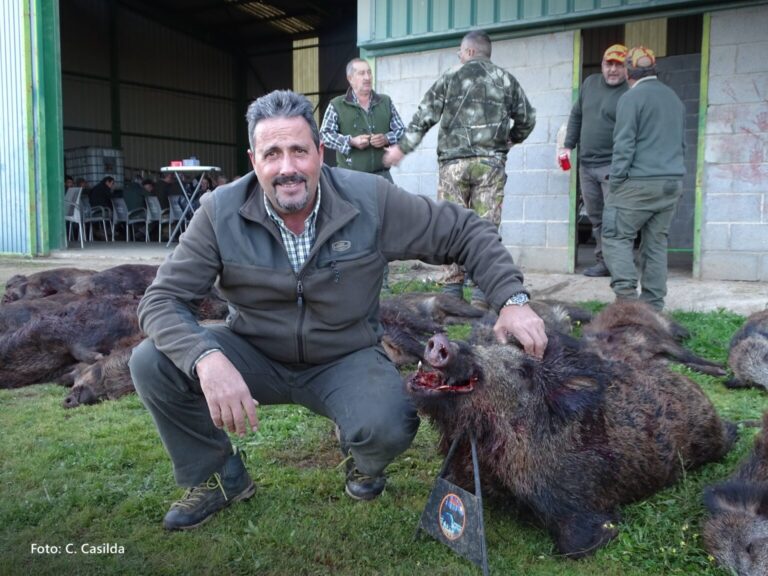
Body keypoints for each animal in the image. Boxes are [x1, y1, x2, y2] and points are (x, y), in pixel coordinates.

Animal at [406, 332, 736, 558]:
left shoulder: (575, 497)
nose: (440, 341)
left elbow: (576, 545)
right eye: (483, 345)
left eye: (522, 371)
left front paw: (608, 532)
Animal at [581, 300, 726, 376]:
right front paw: (717, 371)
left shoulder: (661, 341)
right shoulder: (659, 360)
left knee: (689, 335)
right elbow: (686, 365)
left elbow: (689, 356)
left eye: (604, 352)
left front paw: (719, 365)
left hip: (670, 326)